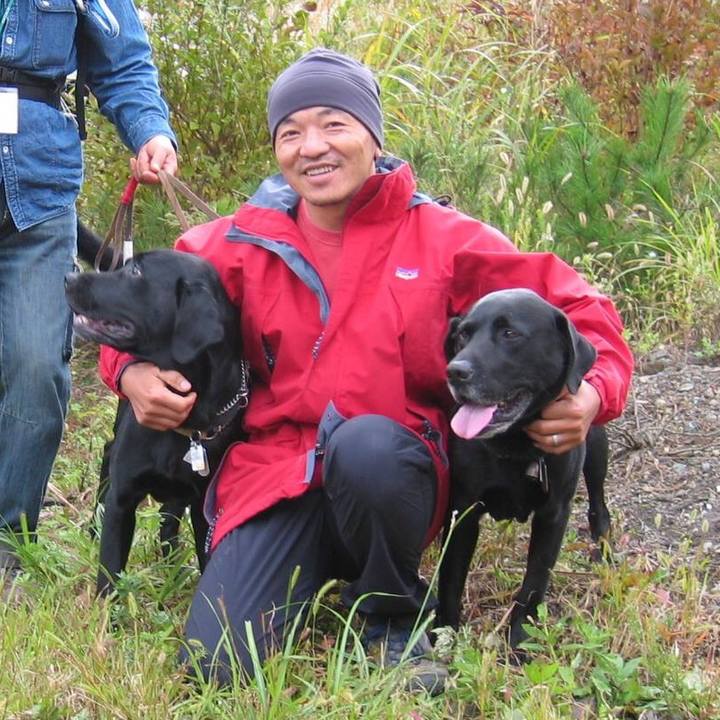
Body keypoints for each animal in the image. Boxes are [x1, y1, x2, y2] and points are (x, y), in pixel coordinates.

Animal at [67, 224, 247, 596]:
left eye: (135, 273)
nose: (68, 277)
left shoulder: (204, 506)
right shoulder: (122, 500)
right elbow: (109, 575)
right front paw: (108, 609)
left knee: (169, 516)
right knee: (107, 458)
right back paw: (94, 528)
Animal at [436, 288, 611, 650]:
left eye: (510, 333)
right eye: (463, 335)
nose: (455, 372)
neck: (514, 444)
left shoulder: (553, 514)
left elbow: (534, 581)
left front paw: (520, 639)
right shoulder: (462, 511)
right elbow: (451, 577)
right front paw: (444, 631)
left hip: (596, 446)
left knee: (599, 505)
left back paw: (603, 553)